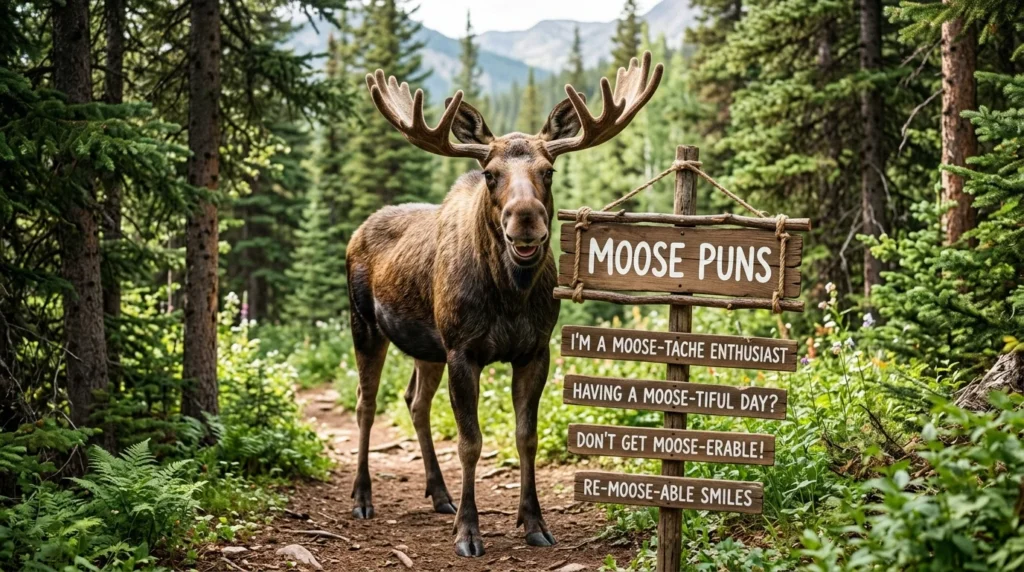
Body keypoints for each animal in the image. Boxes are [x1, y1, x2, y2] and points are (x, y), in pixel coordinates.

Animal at [346, 52, 663, 558]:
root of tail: (357, 231)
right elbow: (470, 442)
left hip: (427, 346)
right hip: (365, 325)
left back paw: (439, 494)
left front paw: (534, 522)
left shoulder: (535, 350)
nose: (525, 218)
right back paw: (362, 498)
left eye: (549, 171)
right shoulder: (462, 351)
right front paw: (468, 532)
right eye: (490, 173)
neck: (510, 296)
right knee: (366, 402)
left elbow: (525, 436)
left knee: (414, 401)